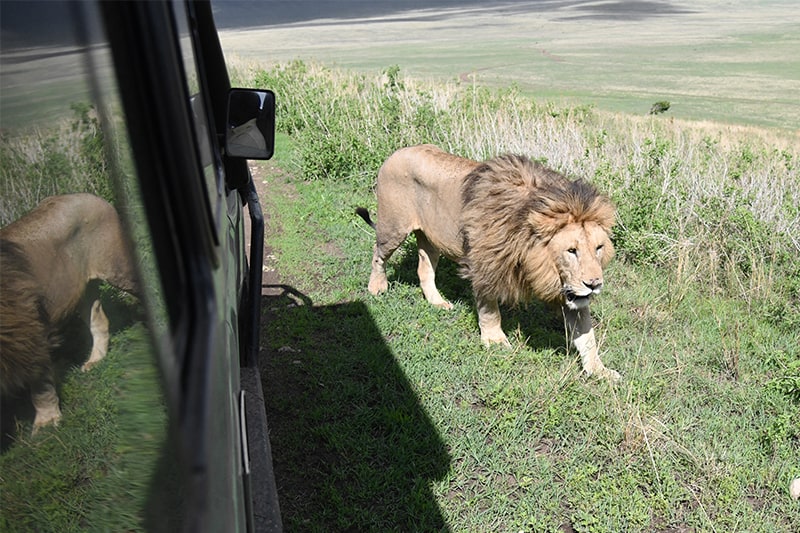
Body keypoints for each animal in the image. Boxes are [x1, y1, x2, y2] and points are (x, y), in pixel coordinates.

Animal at [0, 193, 138, 434]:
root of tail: (88, 195)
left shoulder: (32, 333)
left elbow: (40, 386)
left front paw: (46, 422)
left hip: (117, 267)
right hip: (83, 291)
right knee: (99, 320)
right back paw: (95, 360)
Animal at [356, 143, 620, 380]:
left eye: (598, 248)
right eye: (571, 250)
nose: (594, 284)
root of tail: (397, 152)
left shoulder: (571, 292)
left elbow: (587, 336)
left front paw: (600, 370)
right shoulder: (486, 264)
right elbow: (489, 309)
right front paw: (495, 340)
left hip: (431, 239)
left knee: (424, 269)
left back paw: (437, 302)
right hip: (393, 228)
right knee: (378, 254)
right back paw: (377, 287)